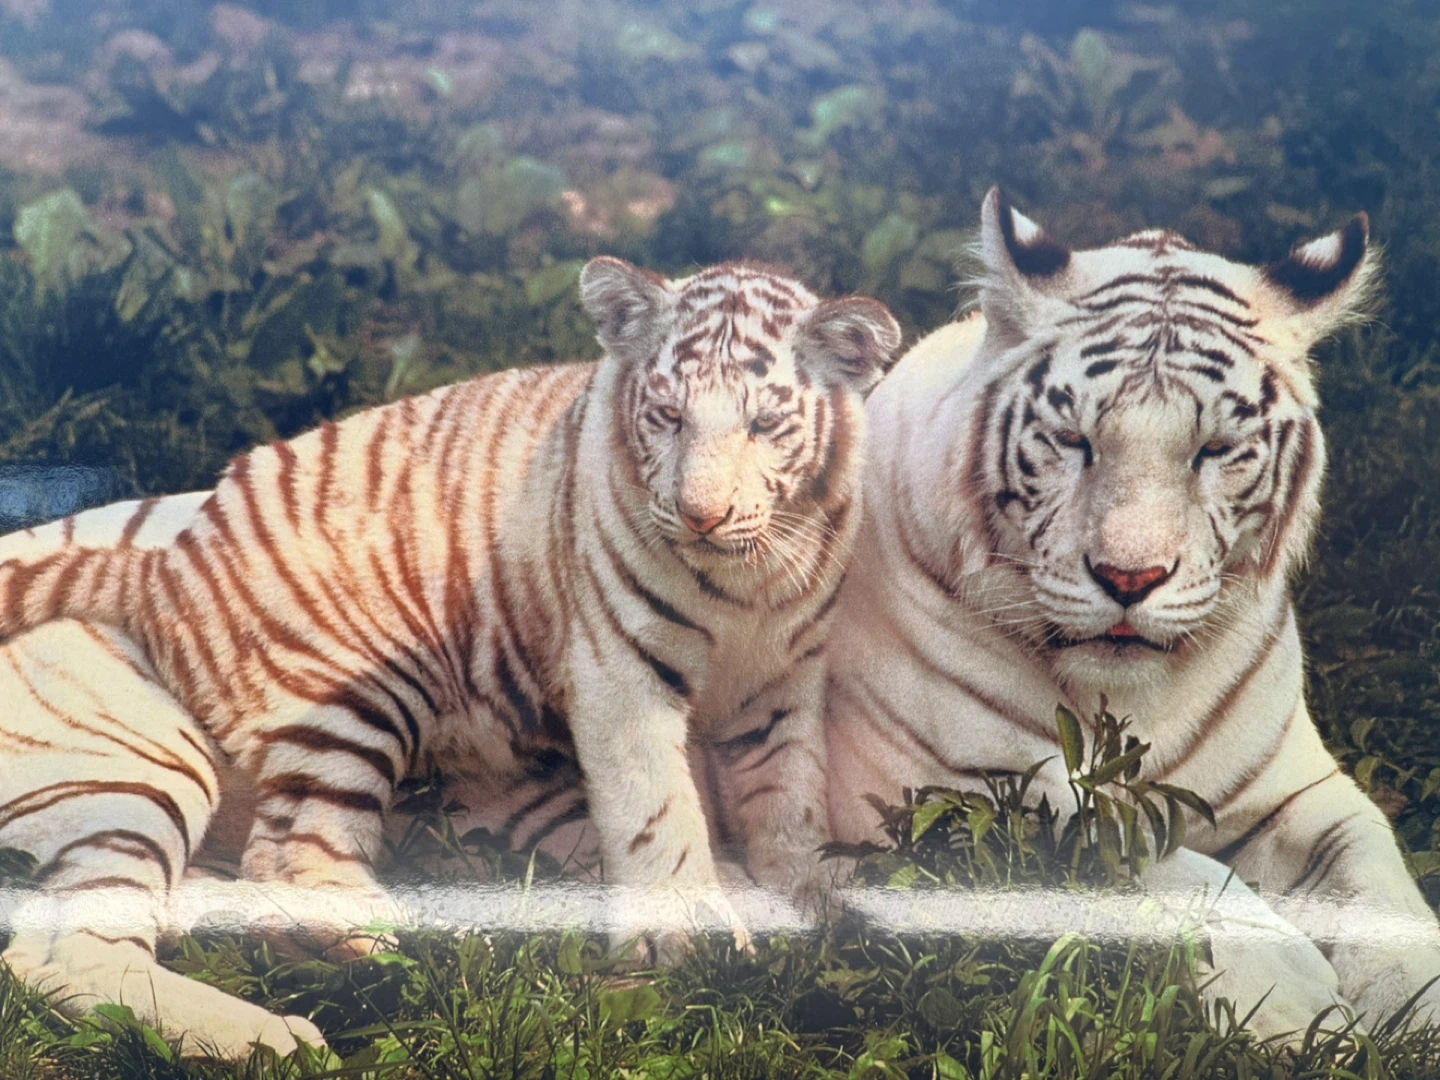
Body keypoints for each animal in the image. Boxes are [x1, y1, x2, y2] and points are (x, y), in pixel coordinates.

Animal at [0, 257, 901, 1054]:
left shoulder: (783, 684)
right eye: (668, 418)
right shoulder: (621, 671)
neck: (749, 581)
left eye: (763, 425)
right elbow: (660, 810)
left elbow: (790, 804)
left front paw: (815, 910)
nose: (700, 515)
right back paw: (339, 999)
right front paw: (692, 943)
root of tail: (169, 557)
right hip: (275, 720)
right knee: (173, 908)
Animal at [824, 188, 1440, 1037]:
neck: (1137, 694)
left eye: (1214, 450)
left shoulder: (1302, 794)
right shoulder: (938, 801)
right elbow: (1146, 853)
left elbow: (1380, 878)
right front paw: (1292, 1000)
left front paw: (1415, 1001)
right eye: (1073, 440)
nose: (1129, 576)